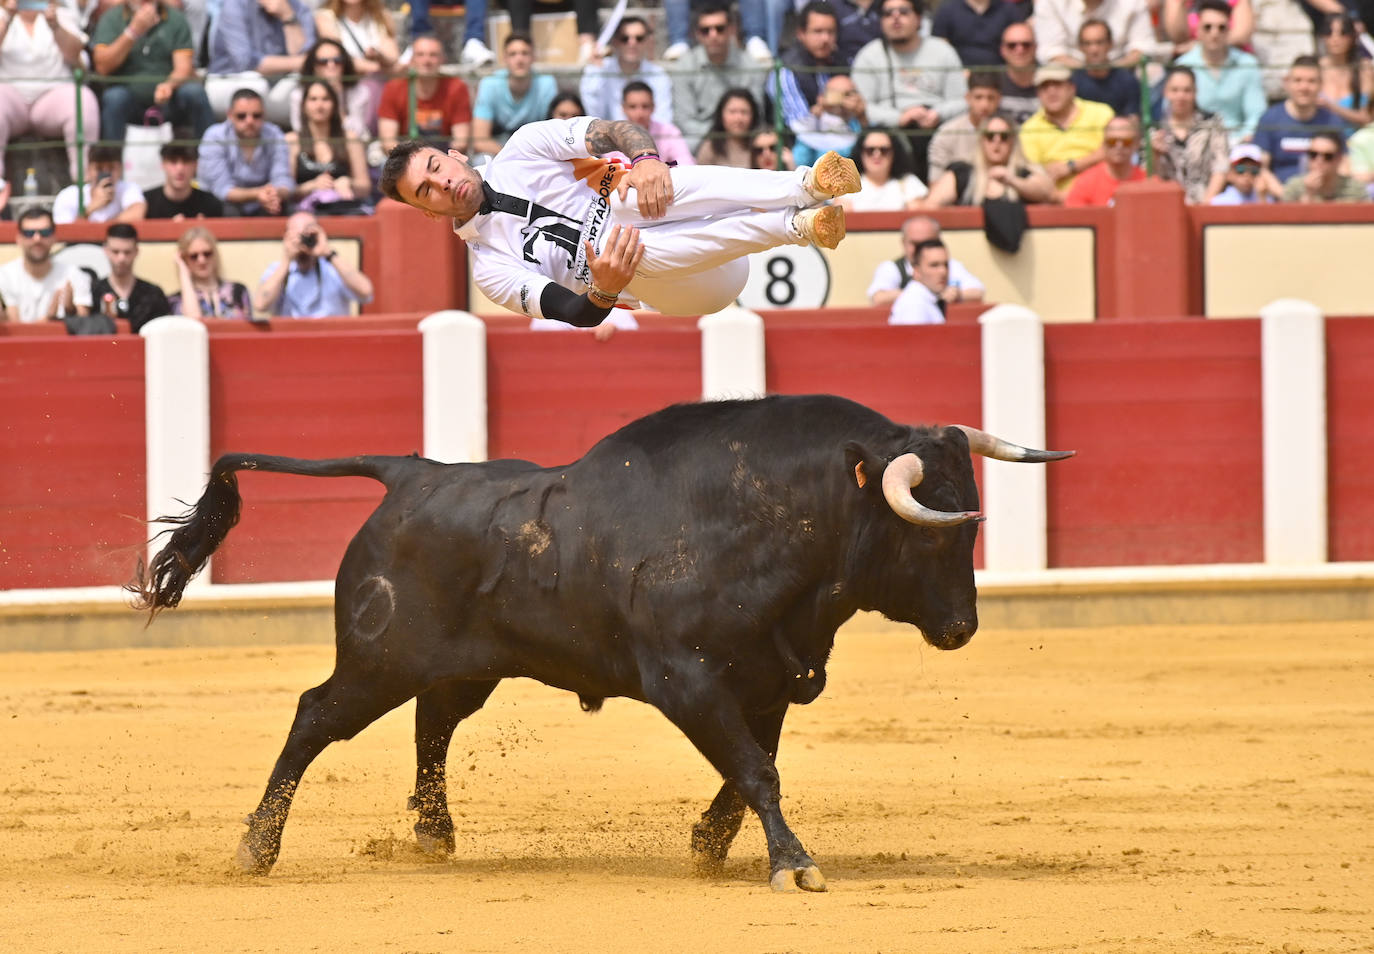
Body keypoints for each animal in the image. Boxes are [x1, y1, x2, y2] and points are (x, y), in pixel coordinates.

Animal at [131, 393, 1071, 890]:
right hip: (378, 661)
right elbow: (756, 770)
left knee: (432, 725)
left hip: (461, 668)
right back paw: (257, 848)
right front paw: (793, 864)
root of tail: (411, 473)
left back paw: (435, 836)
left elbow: (750, 771)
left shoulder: (771, 682)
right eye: (933, 530)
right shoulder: (689, 682)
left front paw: (708, 846)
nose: (961, 628)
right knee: (312, 718)